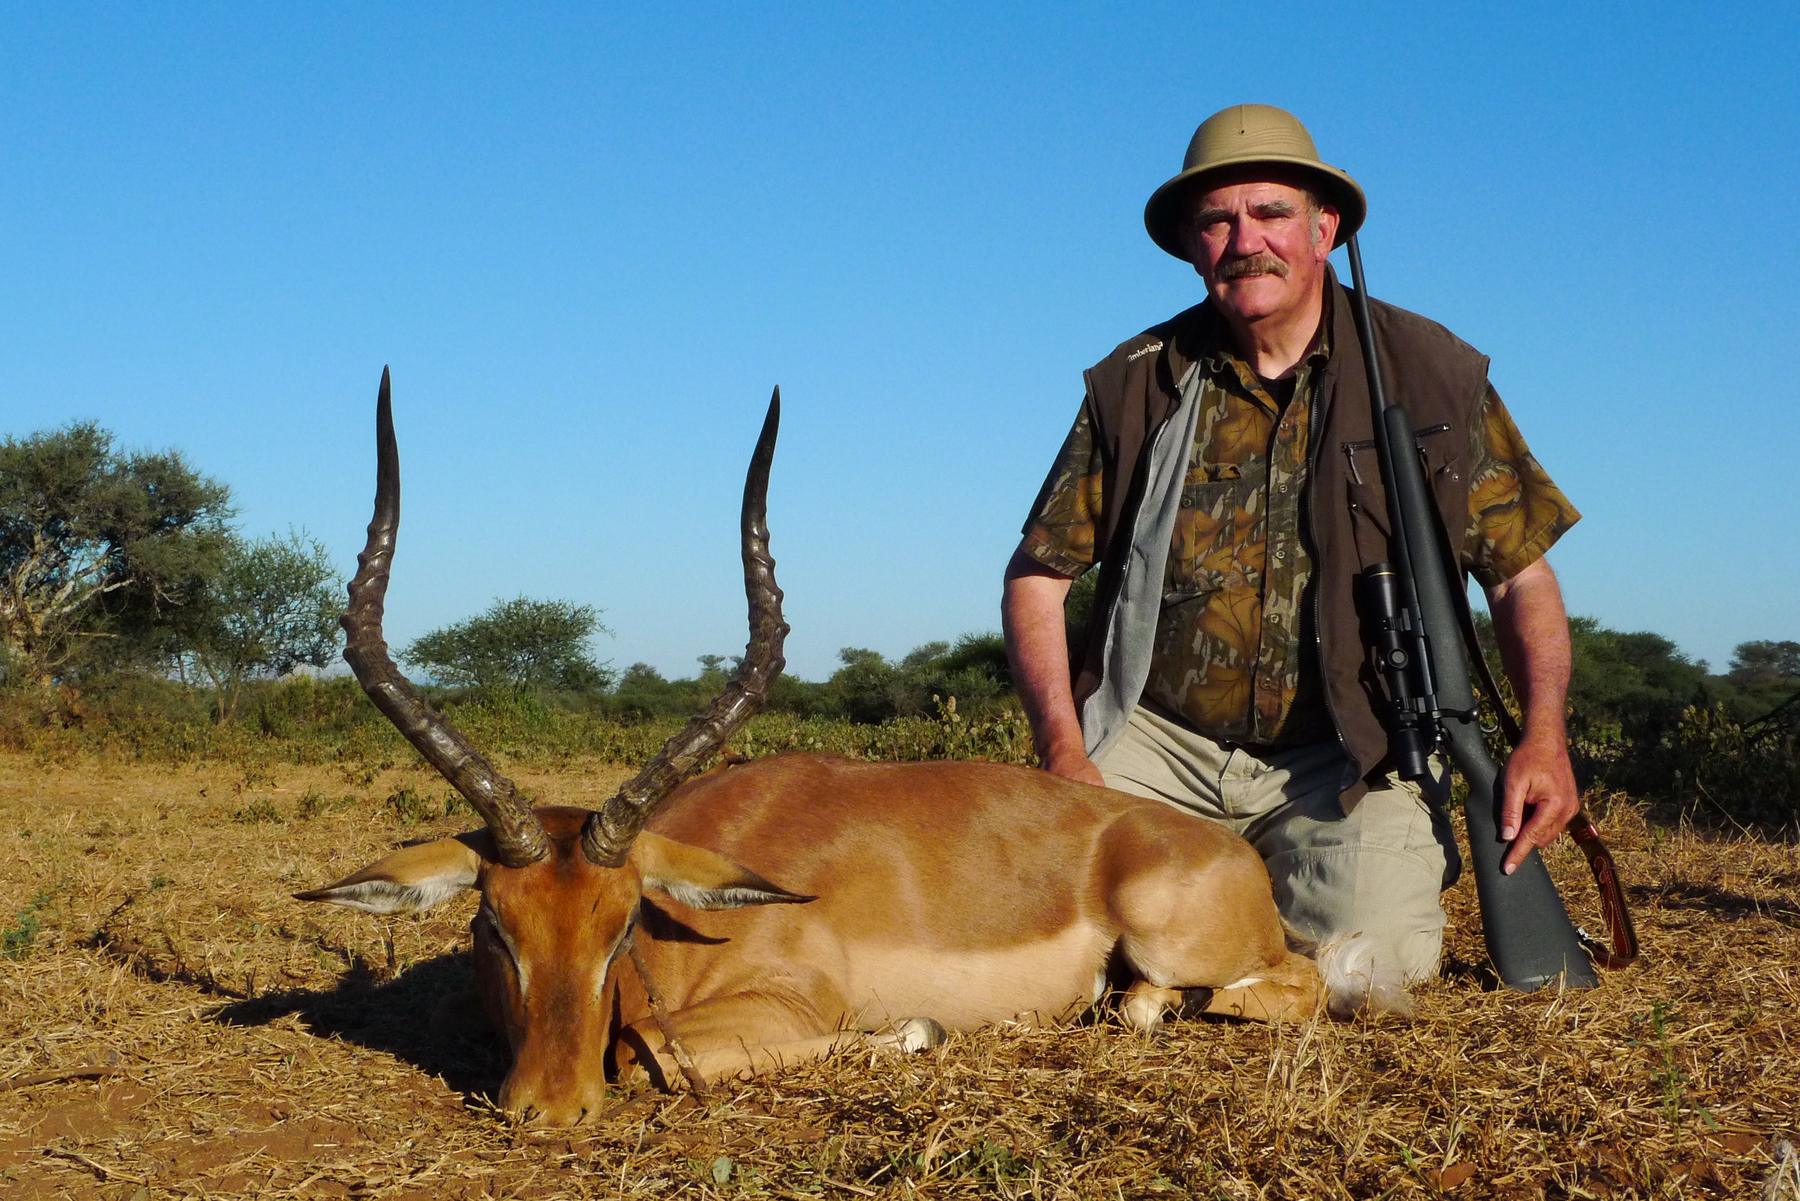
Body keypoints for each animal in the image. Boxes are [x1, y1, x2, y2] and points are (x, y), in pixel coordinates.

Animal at [297, 371, 1355, 1127]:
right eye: (492, 924)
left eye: (622, 925)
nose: (548, 1108)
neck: (691, 930)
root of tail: (1220, 846)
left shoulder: (791, 1011)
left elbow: (654, 1056)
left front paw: (919, 1033)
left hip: (1179, 940)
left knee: (1289, 983)